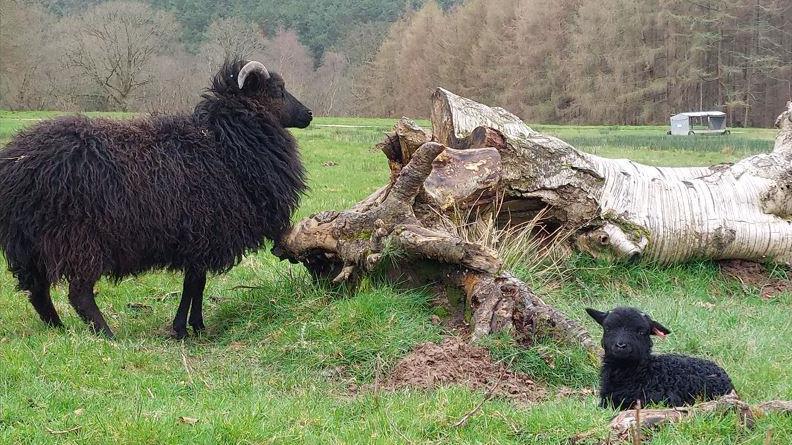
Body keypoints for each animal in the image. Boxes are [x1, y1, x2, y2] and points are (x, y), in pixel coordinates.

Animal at [0, 59, 314, 336]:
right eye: (278, 90)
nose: (309, 114)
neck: (223, 143)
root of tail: (14, 164)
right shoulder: (205, 233)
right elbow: (194, 284)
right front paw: (184, 329)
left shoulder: (198, 240)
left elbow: (195, 284)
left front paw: (195, 326)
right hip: (76, 238)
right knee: (79, 293)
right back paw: (107, 335)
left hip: (29, 244)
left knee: (38, 292)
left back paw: (58, 329)